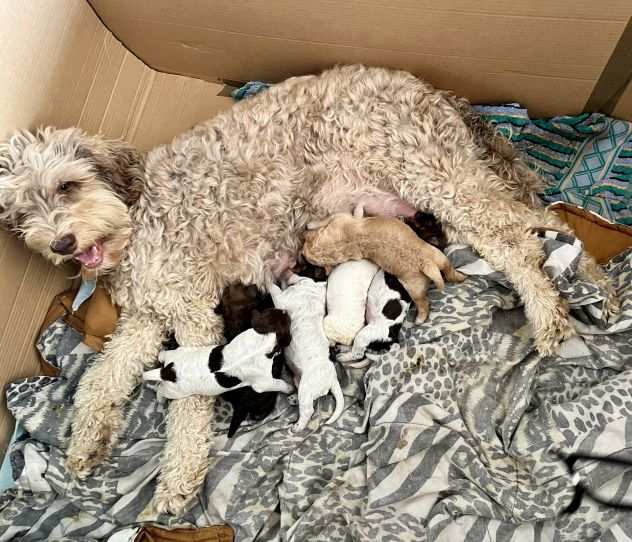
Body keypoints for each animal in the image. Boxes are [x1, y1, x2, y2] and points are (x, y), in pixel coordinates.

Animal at [268, 276, 344, 434]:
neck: (311, 293)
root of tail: (333, 378)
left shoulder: (282, 300)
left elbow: (273, 288)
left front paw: (266, 277)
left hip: (306, 386)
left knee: (308, 410)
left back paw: (298, 426)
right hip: (299, 380)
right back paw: (294, 399)